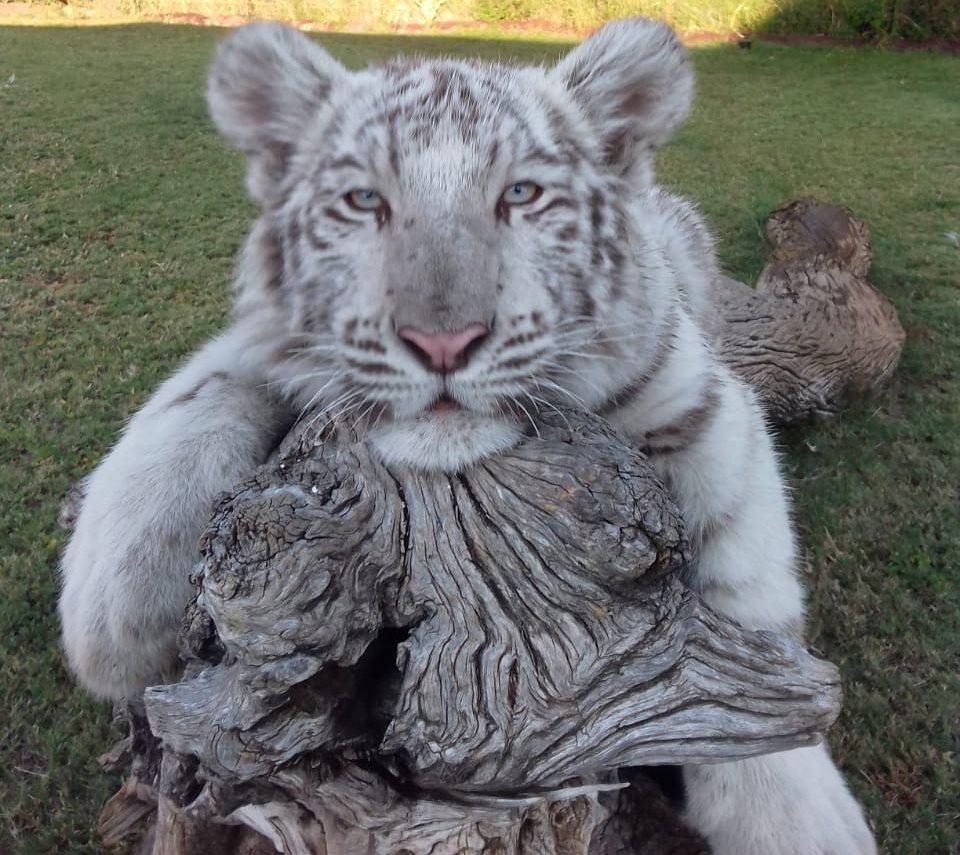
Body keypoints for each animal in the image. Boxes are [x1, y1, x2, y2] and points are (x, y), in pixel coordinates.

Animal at [59, 18, 876, 853]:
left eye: (522, 195)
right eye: (363, 201)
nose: (443, 338)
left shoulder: (705, 402)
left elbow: (751, 600)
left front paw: (796, 811)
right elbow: (200, 394)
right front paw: (110, 619)